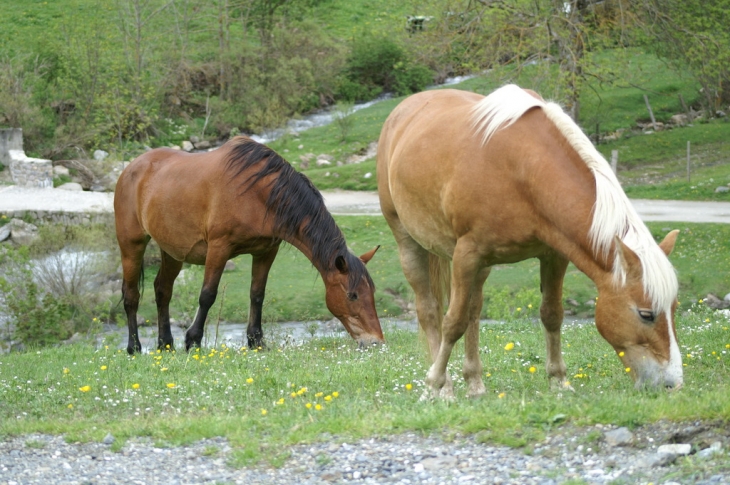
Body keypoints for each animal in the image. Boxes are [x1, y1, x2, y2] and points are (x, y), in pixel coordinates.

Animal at [115, 134, 382, 354]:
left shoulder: (266, 251)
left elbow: (257, 294)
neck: (259, 194)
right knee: (131, 295)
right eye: (352, 295)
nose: (376, 342)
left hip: (172, 251)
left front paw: (256, 341)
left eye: (372, 291)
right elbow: (207, 295)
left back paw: (165, 344)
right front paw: (193, 340)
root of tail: (131, 169)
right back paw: (134, 347)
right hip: (132, 245)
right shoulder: (219, 248)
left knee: (162, 290)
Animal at [378, 86, 680, 398]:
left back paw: (475, 382)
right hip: (408, 241)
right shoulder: (466, 255)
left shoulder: (553, 256)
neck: (521, 170)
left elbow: (552, 314)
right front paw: (434, 384)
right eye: (646, 314)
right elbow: (453, 322)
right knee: (429, 311)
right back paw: (446, 387)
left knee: (474, 311)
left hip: (480, 266)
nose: (671, 384)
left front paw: (559, 380)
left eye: (674, 308)